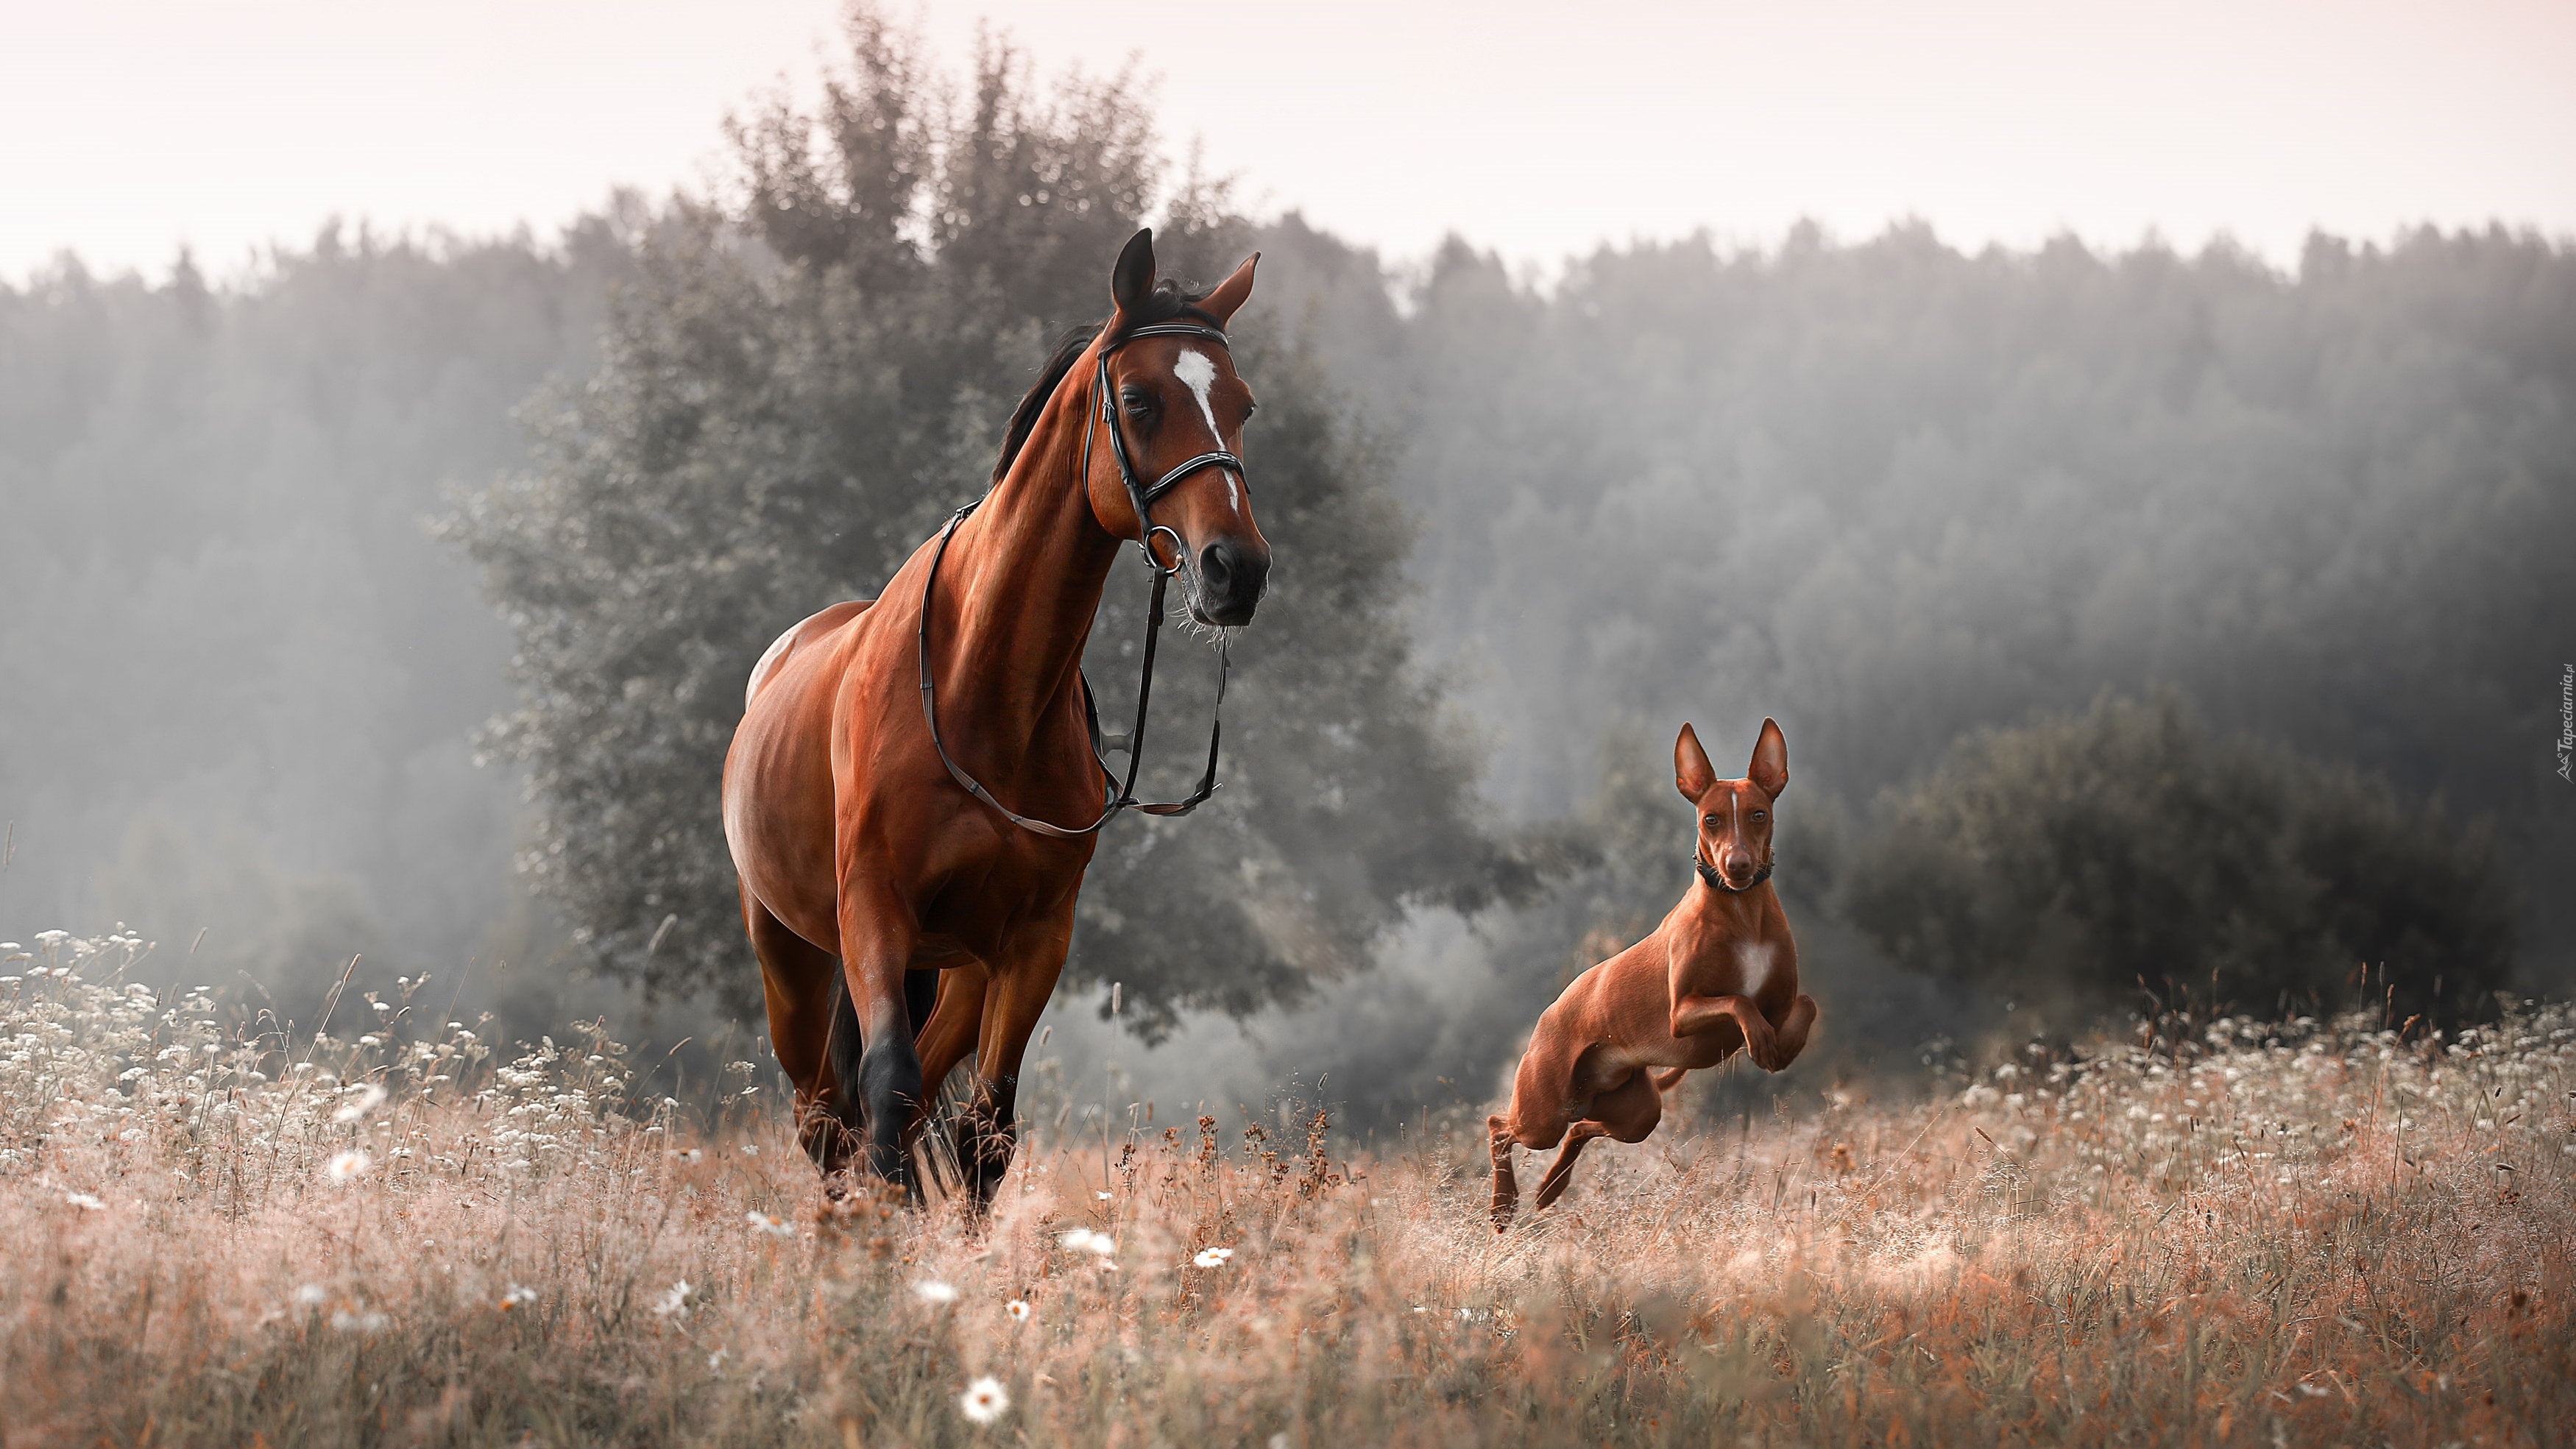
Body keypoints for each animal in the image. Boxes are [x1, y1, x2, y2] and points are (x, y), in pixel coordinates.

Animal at [726, 233, 1267, 1209]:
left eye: (1241, 404)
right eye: (1139, 399)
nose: (1235, 569)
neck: (983, 692)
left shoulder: (1032, 939)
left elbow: (984, 1129)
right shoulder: (874, 911)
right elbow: (887, 1088)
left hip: (961, 971)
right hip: (788, 952)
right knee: (828, 1120)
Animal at [1484, 720, 1824, 1230]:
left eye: (1759, 814)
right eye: (1711, 819)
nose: (1738, 866)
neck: (1743, 912)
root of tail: (1549, 1013)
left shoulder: (1782, 1002)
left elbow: (1805, 1004)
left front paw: (1779, 1047)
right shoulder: (1682, 1013)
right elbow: (1738, 1000)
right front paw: (1761, 1039)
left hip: (1635, 1114)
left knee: (1580, 1130)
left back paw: (1550, 1188)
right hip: (1543, 1113)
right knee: (1499, 1126)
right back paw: (1504, 1203)